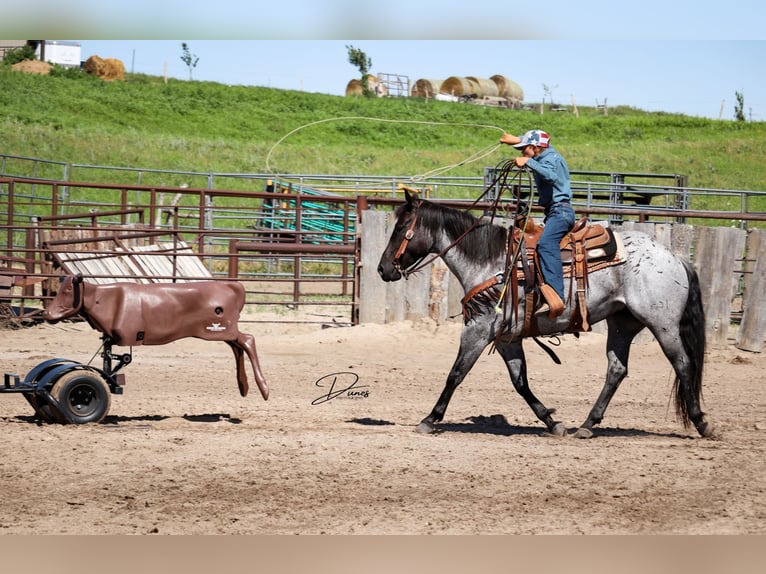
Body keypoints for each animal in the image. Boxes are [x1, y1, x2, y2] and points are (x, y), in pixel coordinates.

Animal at [378, 194, 712, 440]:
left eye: (400, 229)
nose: (383, 269)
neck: (489, 262)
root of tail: (675, 257)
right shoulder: (505, 338)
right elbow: (520, 381)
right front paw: (553, 423)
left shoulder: (478, 330)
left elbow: (455, 373)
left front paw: (430, 418)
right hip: (622, 323)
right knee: (617, 369)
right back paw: (586, 425)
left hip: (663, 324)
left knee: (683, 364)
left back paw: (702, 423)